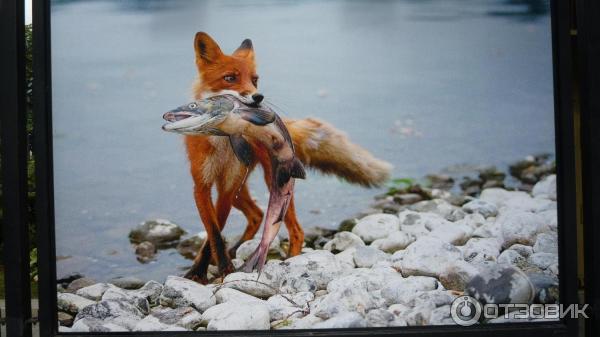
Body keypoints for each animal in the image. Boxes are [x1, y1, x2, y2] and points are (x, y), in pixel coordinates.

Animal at [183, 32, 392, 282]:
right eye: (230, 78)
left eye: (255, 80)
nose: (258, 97)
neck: (222, 142)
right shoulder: (202, 185)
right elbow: (213, 232)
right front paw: (201, 271)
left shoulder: (226, 188)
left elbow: (213, 234)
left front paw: (221, 270)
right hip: (241, 191)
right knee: (257, 215)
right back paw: (237, 250)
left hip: (273, 183)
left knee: (295, 230)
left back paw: (291, 261)